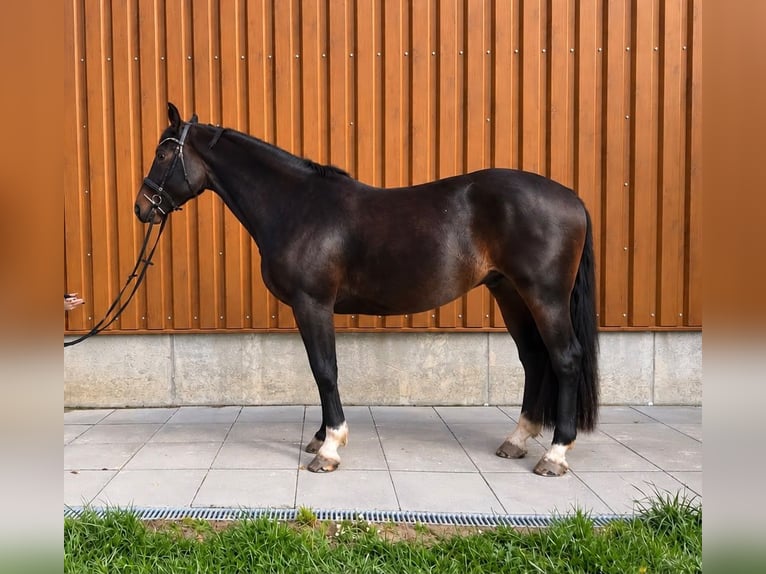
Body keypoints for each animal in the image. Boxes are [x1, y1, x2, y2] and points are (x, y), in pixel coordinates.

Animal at [135, 102, 599, 477]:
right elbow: (322, 371)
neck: (297, 206)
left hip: (544, 296)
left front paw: (330, 448)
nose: (142, 207)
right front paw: (321, 436)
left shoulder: (312, 304)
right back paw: (517, 441)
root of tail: (574, 198)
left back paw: (555, 455)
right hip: (510, 294)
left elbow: (324, 370)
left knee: (565, 359)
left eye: (162, 153)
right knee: (534, 358)